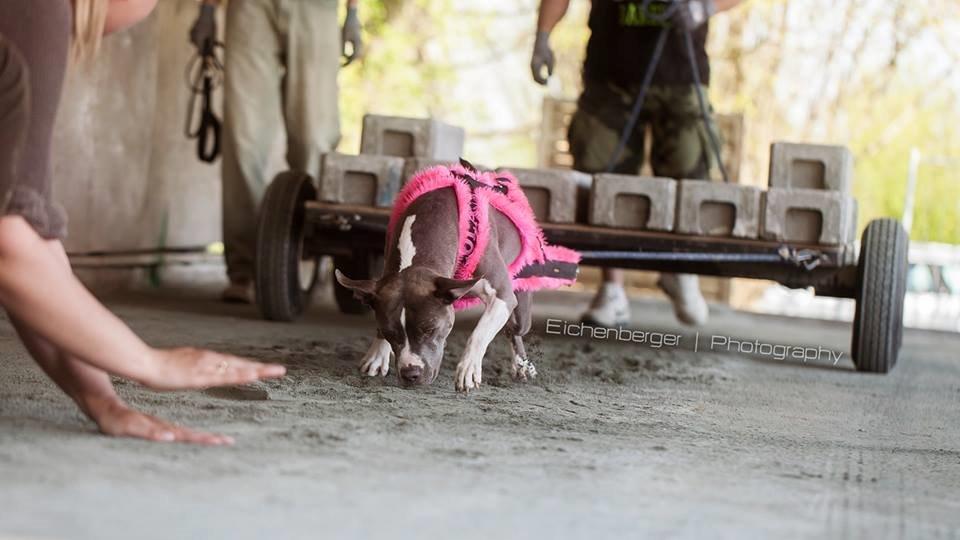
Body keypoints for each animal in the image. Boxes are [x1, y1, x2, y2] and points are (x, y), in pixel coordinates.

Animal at [336, 160, 576, 392]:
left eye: (430, 330)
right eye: (389, 332)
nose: (410, 374)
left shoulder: (501, 295)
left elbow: (478, 333)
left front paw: (468, 368)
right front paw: (377, 355)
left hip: (521, 299)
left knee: (514, 329)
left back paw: (522, 365)